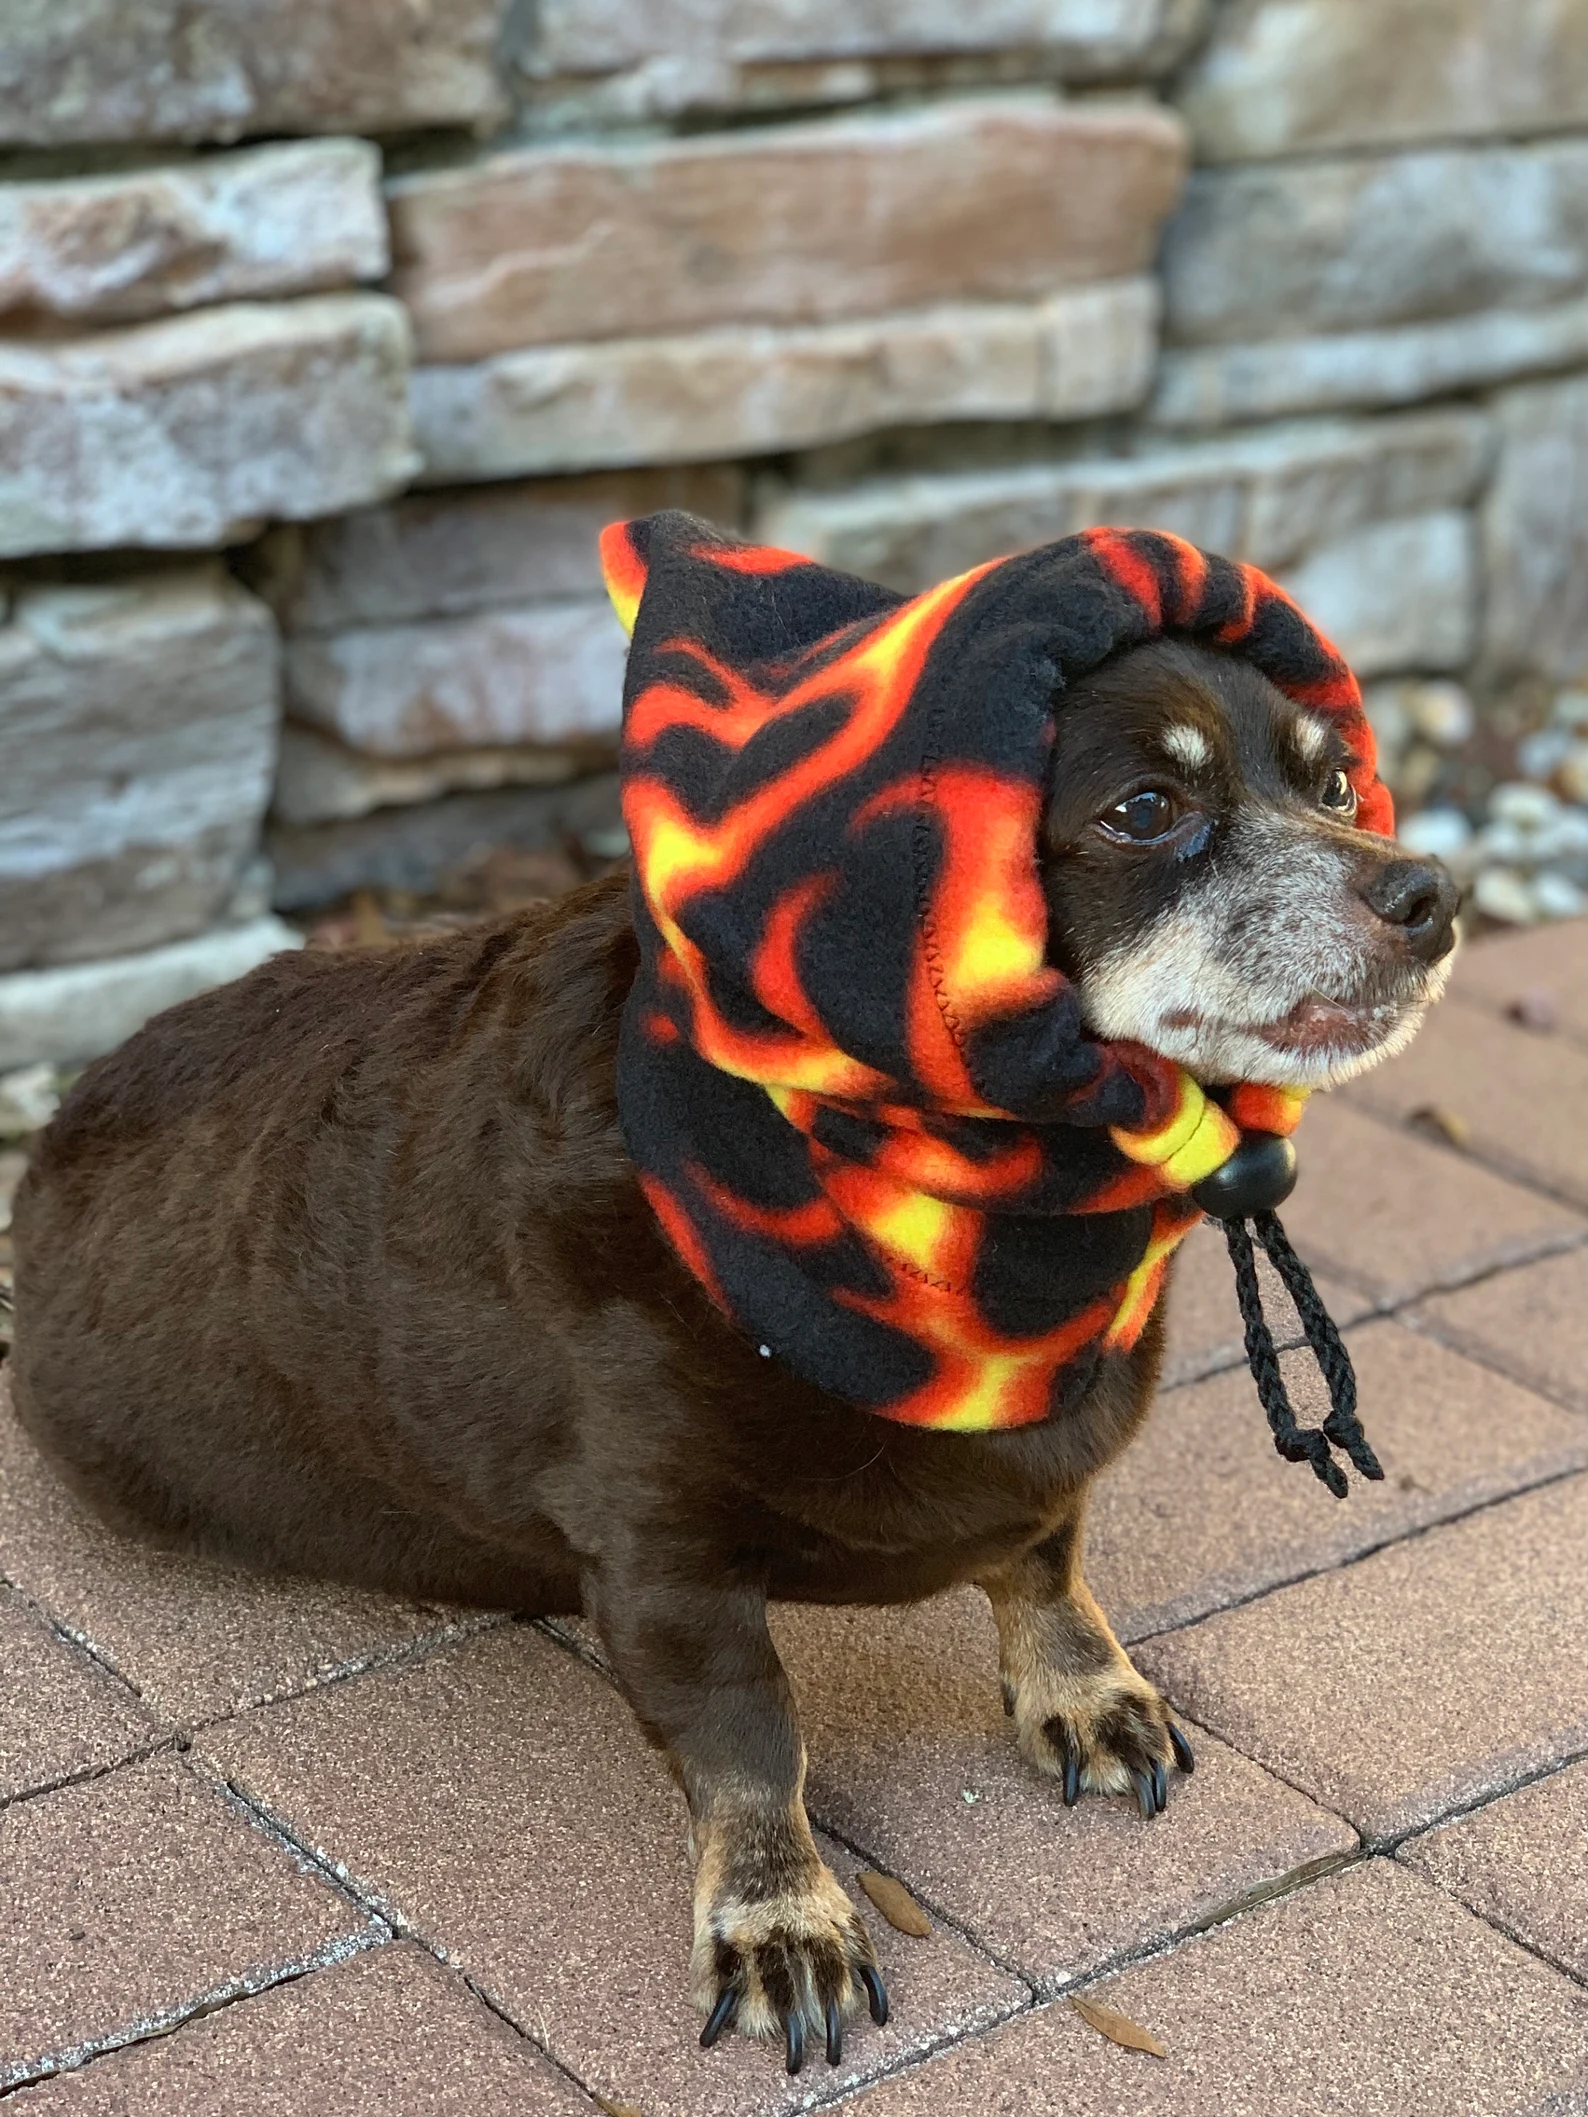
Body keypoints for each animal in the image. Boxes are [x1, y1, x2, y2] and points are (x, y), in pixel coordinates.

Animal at [9, 626, 1456, 2066]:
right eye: (1145, 808)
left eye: (1334, 783)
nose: (1433, 891)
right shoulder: (667, 1566)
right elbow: (754, 1744)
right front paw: (780, 1917)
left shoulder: (1046, 1463)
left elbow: (1048, 1556)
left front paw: (1082, 1681)